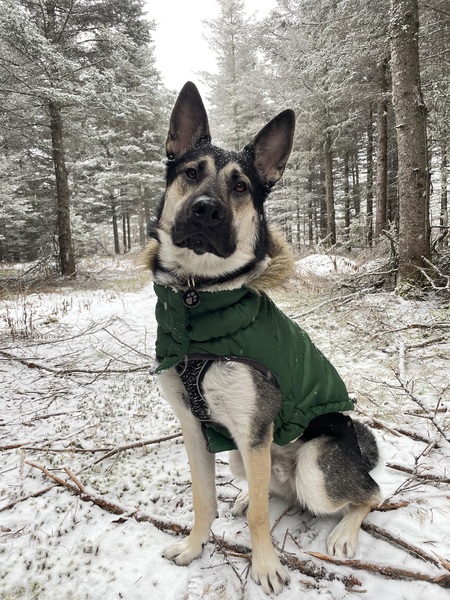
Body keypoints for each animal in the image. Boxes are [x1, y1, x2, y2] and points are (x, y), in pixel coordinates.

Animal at [145, 82, 384, 592]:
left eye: (241, 187)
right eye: (191, 173)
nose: (206, 210)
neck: (199, 297)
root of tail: (357, 452)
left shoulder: (254, 429)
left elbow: (259, 517)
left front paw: (266, 566)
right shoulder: (195, 428)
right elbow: (203, 499)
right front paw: (194, 546)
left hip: (312, 466)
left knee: (366, 493)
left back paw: (344, 533)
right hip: (241, 456)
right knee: (271, 492)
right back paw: (244, 497)